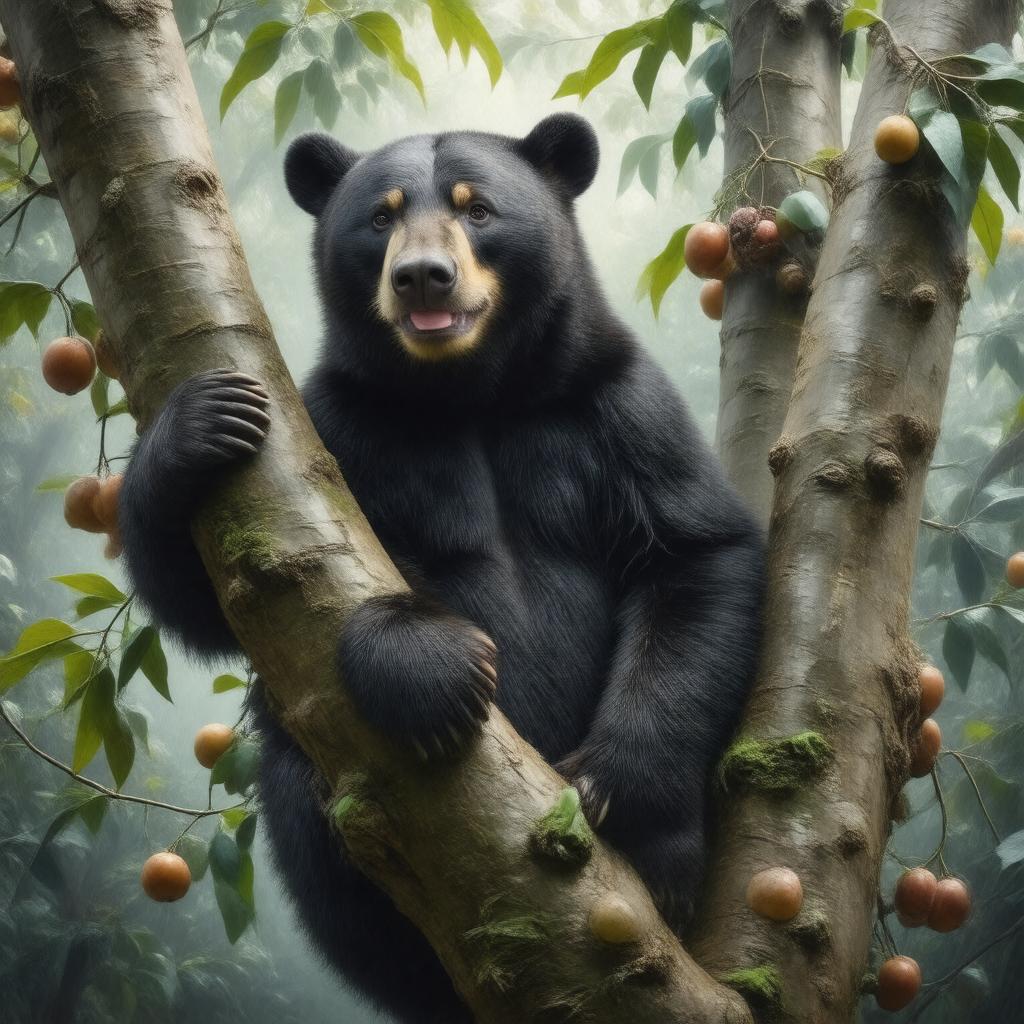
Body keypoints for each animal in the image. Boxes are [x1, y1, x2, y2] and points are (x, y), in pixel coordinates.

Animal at [119, 113, 764, 1024]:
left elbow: (693, 553)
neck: (469, 392)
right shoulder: (345, 425)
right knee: (313, 820)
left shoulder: (612, 406)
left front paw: (618, 792)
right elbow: (216, 596)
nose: (424, 277)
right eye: (379, 218)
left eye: (478, 208)